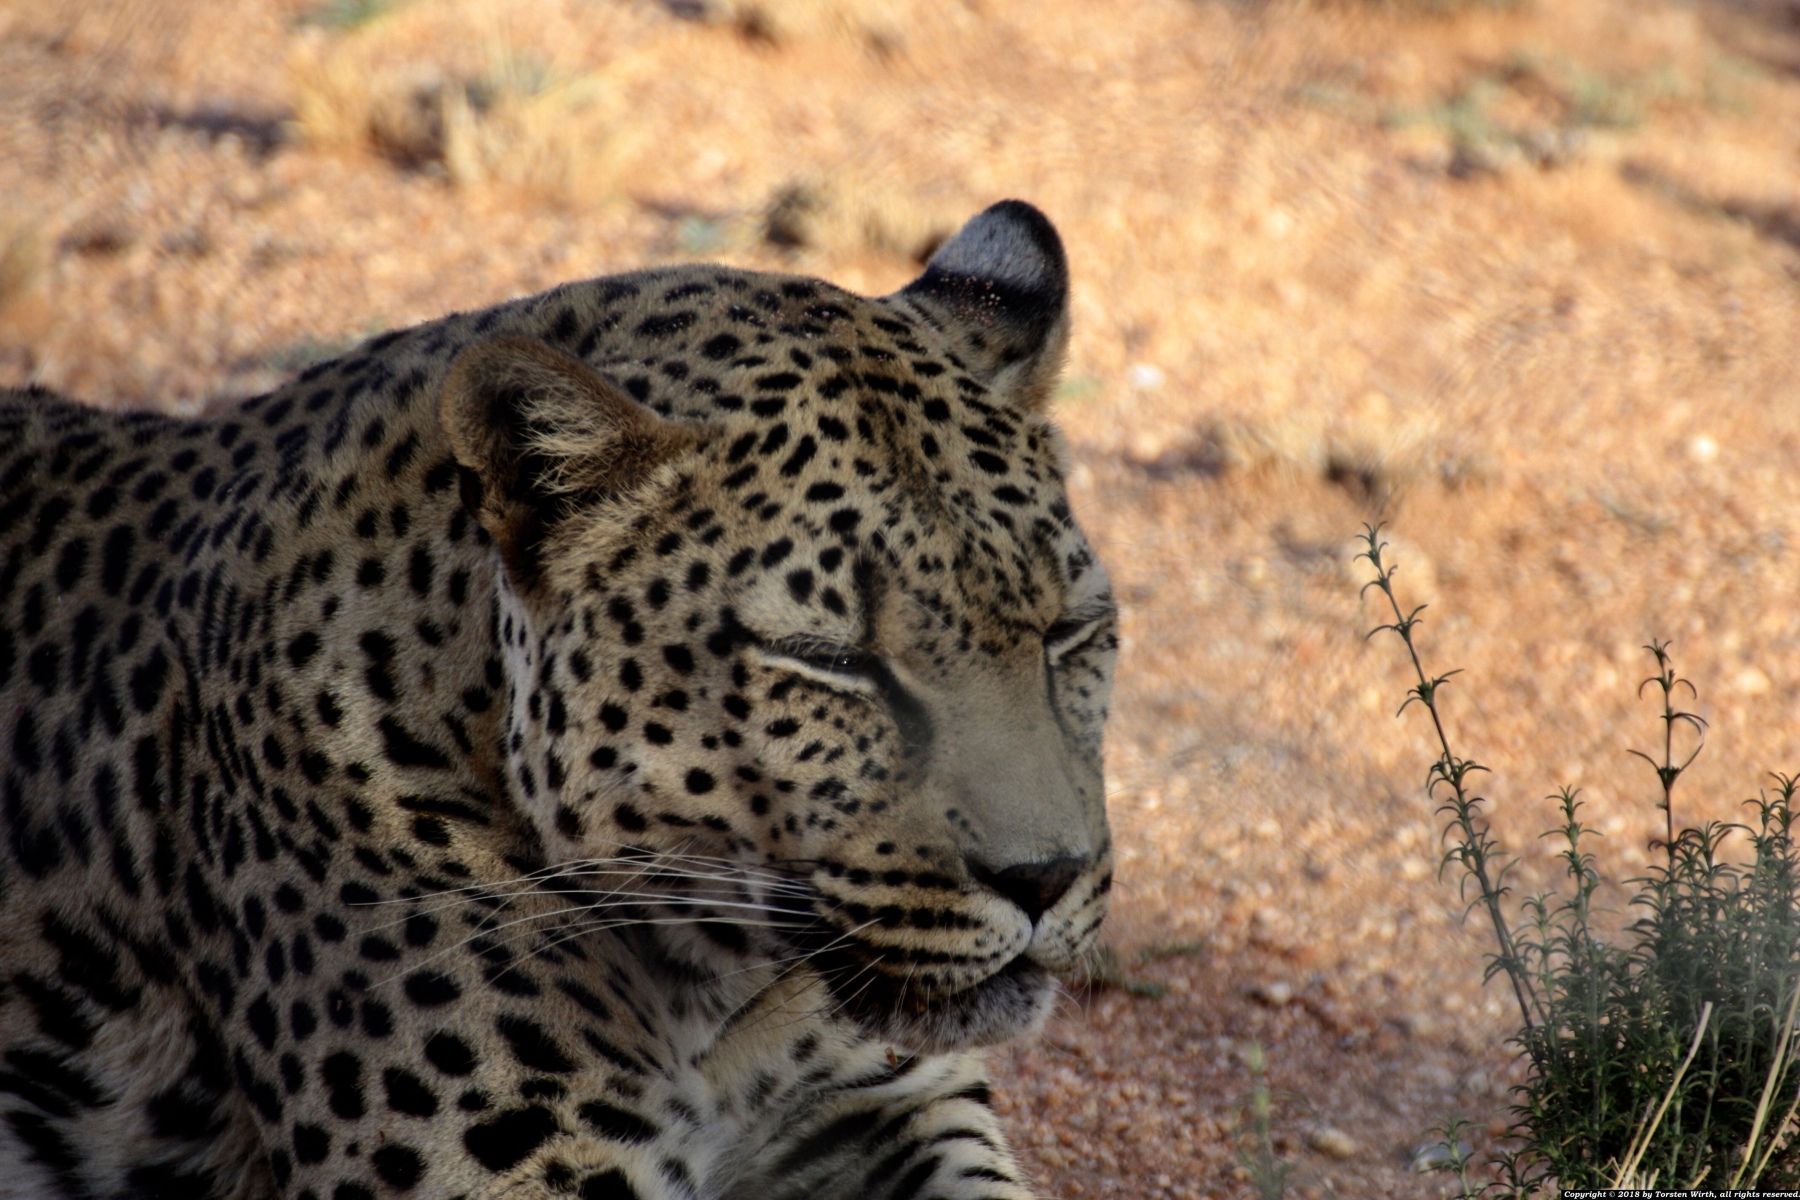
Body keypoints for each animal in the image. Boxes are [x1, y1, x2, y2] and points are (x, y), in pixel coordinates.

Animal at [0, 199, 1118, 1200]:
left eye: (1069, 632)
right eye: (827, 658)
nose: (1048, 877)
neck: (730, 1002)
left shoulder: (885, 1102)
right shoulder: (516, 1171)